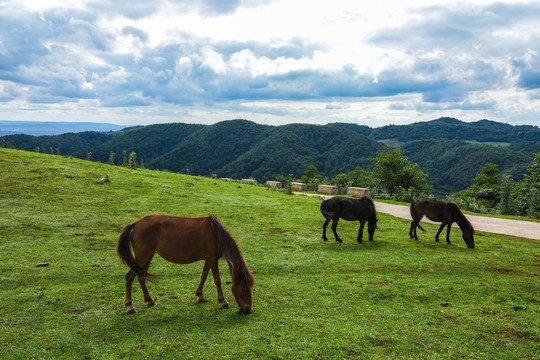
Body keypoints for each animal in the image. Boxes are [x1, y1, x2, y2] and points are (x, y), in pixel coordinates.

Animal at [116, 215, 255, 314]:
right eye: (244, 288)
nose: (248, 309)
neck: (216, 234)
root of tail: (137, 223)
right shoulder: (212, 259)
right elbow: (217, 280)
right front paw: (223, 301)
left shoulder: (208, 258)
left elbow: (204, 276)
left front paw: (200, 295)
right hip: (142, 257)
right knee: (129, 277)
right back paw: (130, 306)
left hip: (147, 257)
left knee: (141, 277)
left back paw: (150, 300)